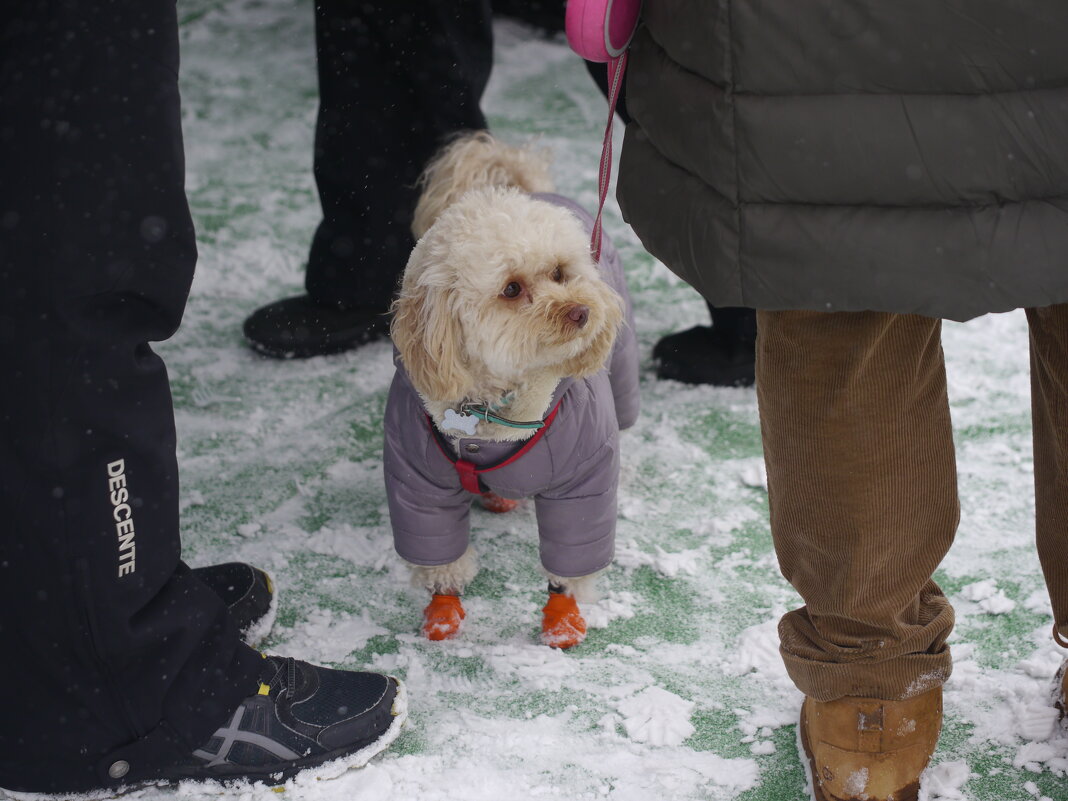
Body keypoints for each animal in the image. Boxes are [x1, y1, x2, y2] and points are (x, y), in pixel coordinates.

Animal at [382, 128, 636, 649]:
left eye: (559, 272)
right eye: (512, 289)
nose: (583, 311)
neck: (493, 412)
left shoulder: (583, 478)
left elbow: (572, 553)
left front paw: (563, 614)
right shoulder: (415, 479)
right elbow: (439, 554)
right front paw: (442, 607)